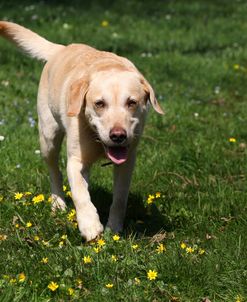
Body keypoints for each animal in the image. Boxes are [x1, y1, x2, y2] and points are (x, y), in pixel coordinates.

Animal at [0, 21, 164, 241]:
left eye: (132, 102)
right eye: (99, 103)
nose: (118, 136)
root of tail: (61, 48)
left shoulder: (127, 162)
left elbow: (120, 198)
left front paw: (114, 227)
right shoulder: (75, 160)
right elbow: (79, 194)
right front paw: (90, 225)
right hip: (48, 138)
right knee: (55, 171)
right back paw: (58, 202)